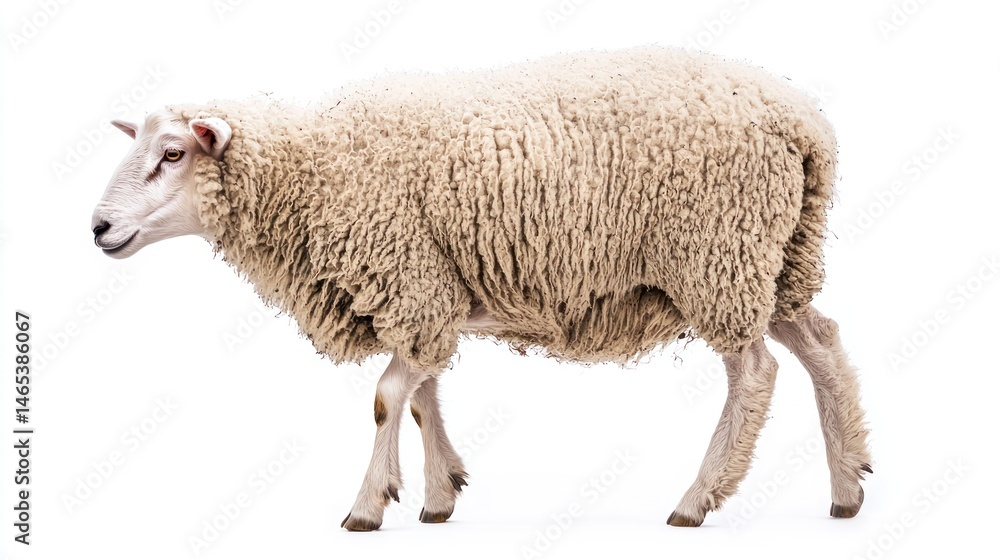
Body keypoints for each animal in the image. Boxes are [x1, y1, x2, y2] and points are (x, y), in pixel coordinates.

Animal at [90, 46, 871, 530]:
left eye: (171, 154)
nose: (98, 227)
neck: (314, 171)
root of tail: (805, 123)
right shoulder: (430, 289)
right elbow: (420, 393)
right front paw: (440, 494)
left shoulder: (408, 275)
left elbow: (386, 398)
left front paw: (369, 504)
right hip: (774, 258)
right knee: (823, 346)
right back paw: (846, 487)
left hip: (718, 254)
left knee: (755, 370)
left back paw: (698, 497)